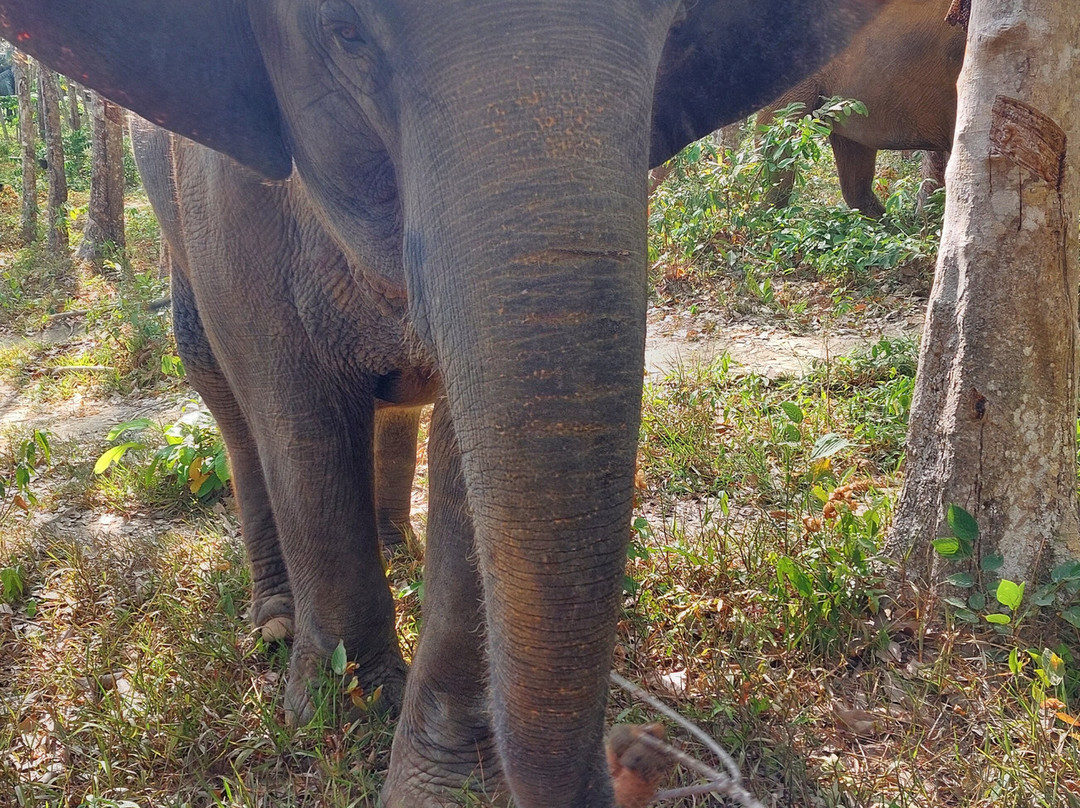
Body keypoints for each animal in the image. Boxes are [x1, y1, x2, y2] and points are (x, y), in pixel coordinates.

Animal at [1, 1, 886, 805]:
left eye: (679, 29)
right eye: (344, 30)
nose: (638, 753)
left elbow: (467, 449)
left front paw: (442, 782)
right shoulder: (224, 197)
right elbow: (296, 418)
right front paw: (339, 715)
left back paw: (398, 547)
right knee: (225, 393)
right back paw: (278, 619)